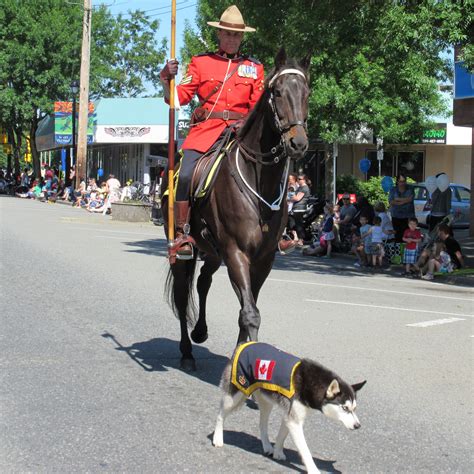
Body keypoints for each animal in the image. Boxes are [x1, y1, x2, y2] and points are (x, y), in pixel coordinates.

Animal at [163, 51, 312, 370]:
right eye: (276, 92)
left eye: (307, 93)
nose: (298, 143)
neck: (260, 180)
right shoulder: (236, 252)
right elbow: (250, 313)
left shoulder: (264, 258)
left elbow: (248, 306)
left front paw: (242, 355)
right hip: (186, 250)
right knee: (182, 294)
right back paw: (186, 352)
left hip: (211, 249)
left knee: (203, 280)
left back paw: (200, 331)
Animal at [213, 342, 364, 474]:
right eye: (345, 408)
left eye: (354, 408)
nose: (358, 426)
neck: (310, 383)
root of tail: (244, 344)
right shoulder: (294, 420)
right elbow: (305, 450)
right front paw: (313, 469)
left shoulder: (290, 417)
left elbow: (281, 436)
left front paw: (277, 452)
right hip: (234, 395)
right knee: (220, 415)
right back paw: (217, 437)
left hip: (266, 401)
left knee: (262, 424)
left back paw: (267, 446)